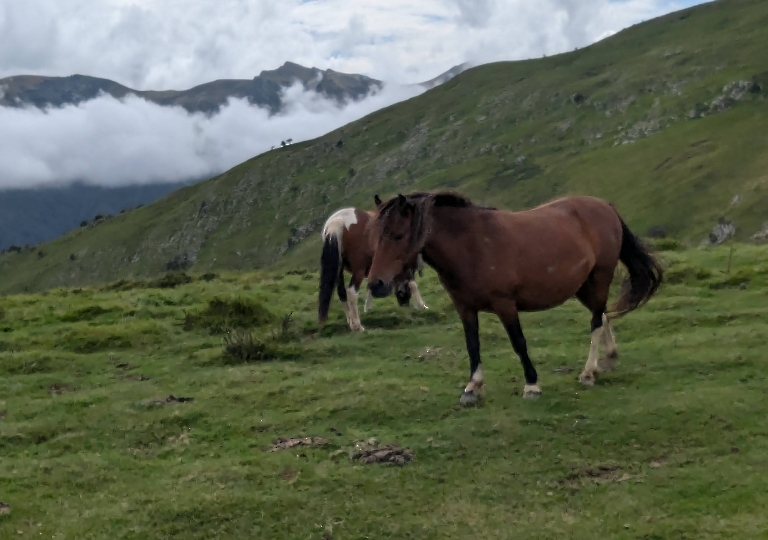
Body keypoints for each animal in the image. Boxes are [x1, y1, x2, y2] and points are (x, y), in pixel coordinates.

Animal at [368, 192, 664, 402]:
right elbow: (472, 345)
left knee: (595, 322)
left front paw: (531, 385)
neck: (470, 245)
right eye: (375, 236)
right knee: (601, 316)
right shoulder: (464, 308)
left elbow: (519, 343)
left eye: (398, 235)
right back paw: (610, 358)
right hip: (583, 286)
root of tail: (605, 206)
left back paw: (588, 372)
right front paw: (473, 387)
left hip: (600, 278)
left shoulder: (505, 305)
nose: (376, 284)